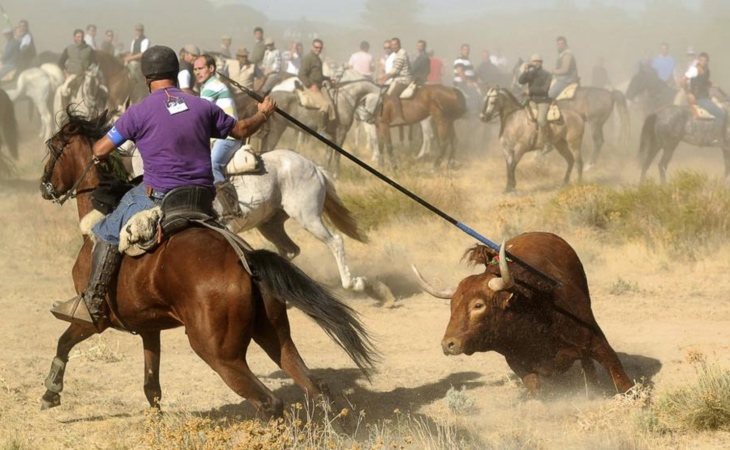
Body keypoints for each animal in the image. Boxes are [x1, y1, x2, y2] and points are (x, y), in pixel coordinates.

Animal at [37, 110, 376, 416]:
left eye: (53, 147)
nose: (44, 185)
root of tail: (246, 262)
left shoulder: (96, 320)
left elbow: (64, 342)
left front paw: (51, 393)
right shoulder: (149, 326)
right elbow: (151, 384)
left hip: (220, 351)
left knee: (270, 401)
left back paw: (353, 282)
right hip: (275, 330)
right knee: (313, 384)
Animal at [416, 232, 632, 394]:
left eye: (478, 305)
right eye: (452, 306)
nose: (448, 344)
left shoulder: (597, 342)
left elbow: (621, 380)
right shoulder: (518, 364)